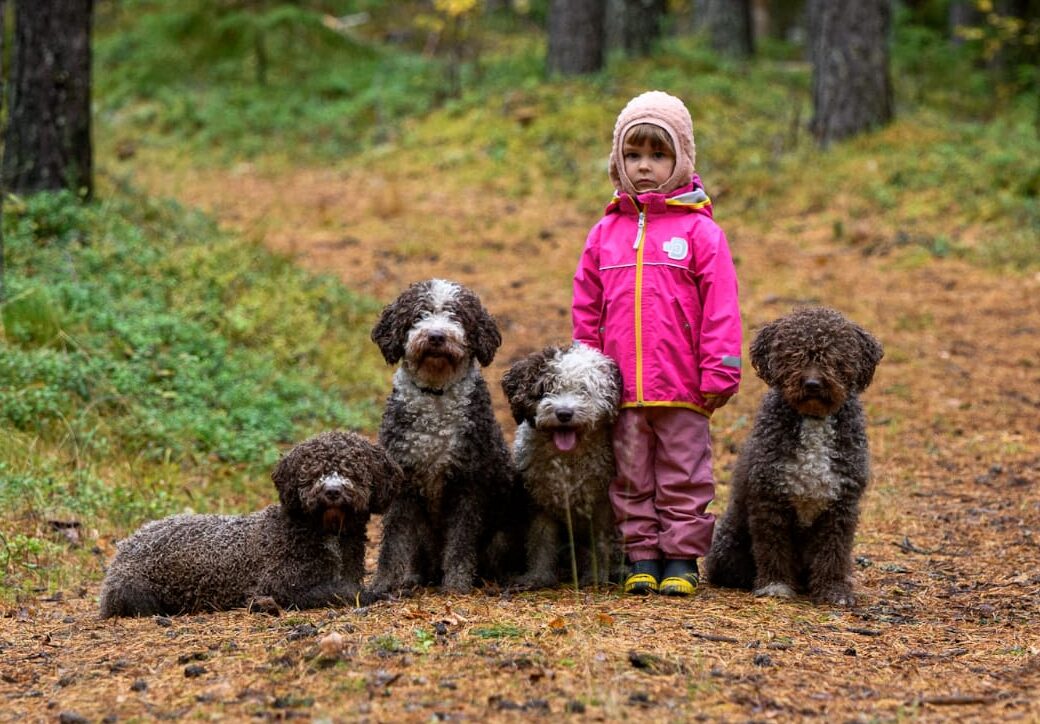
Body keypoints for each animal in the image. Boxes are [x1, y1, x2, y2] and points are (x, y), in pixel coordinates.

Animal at [99, 430, 401, 615]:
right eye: (313, 473)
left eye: (353, 471)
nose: (332, 492)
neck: (328, 534)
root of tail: (125, 546)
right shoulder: (281, 585)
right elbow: (340, 590)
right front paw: (371, 595)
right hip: (136, 590)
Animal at [370, 276, 524, 595]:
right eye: (419, 315)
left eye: (456, 316)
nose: (437, 336)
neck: (436, 394)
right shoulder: (402, 482)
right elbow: (392, 543)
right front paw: (383, 584)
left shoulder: (468, 483)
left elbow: (461, 543)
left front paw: (456, 584)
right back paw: (412, 578)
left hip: (502, 531)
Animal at [501, 341, 619, 586]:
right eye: (546, 388)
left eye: (583, 390)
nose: (564, 413)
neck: (568, 462)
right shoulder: (539, 499)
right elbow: (541, 541)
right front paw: (537, 577)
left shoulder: (602, 503)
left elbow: (601, 542)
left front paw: (597, 577)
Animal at [703, 305, 881, 603]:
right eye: (792, 353)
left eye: (834, 355)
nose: (812, 383)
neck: (813, 419)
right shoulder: (770, 500)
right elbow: (773, 547)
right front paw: (775, 585)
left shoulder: (840, 505)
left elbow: (833, 552)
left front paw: (834, 590)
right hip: (729, 545)